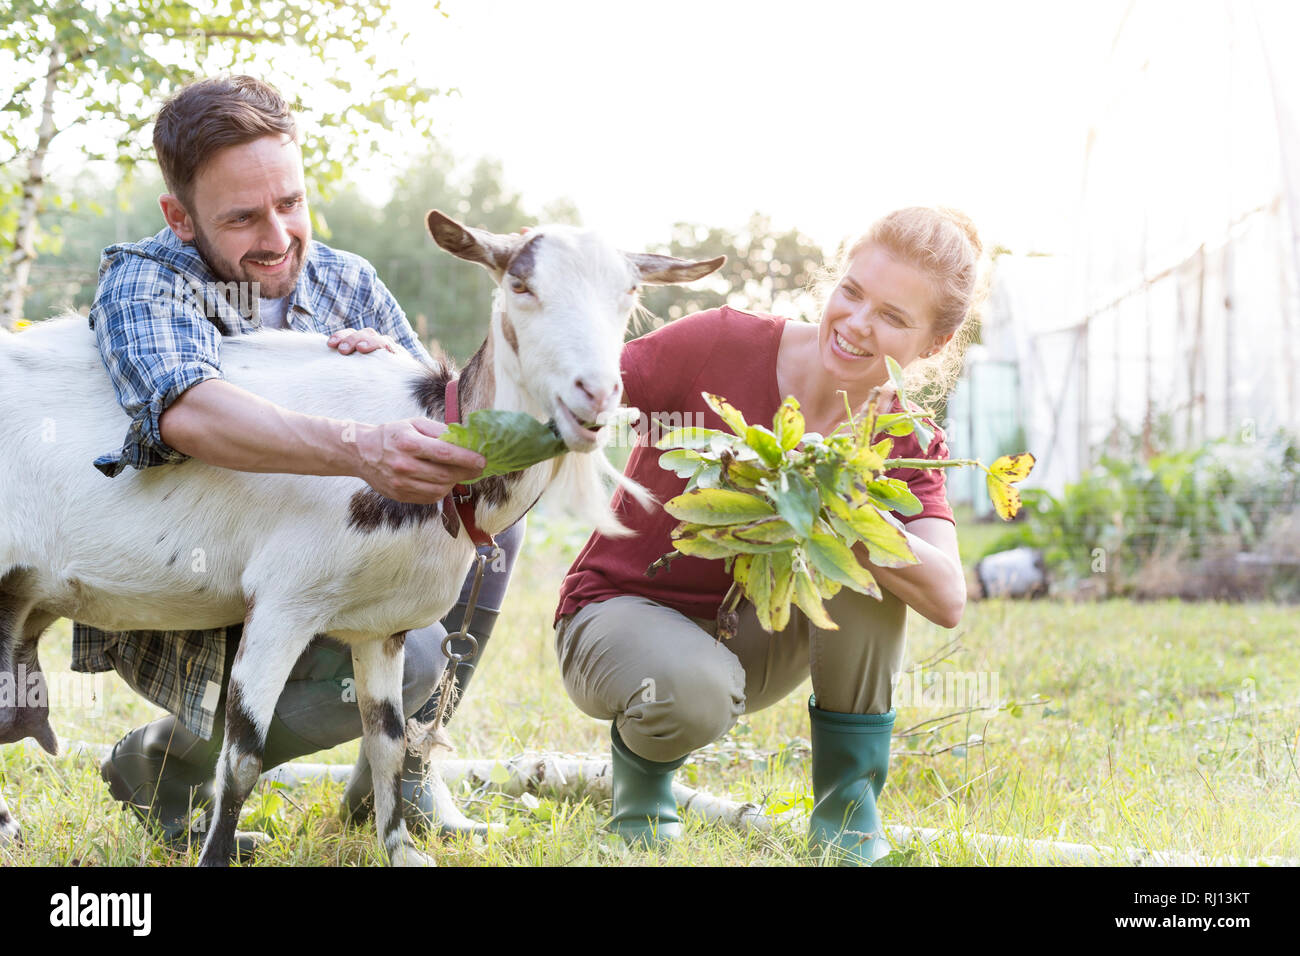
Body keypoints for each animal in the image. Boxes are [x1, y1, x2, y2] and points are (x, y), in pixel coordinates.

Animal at [0, 210, 722, 868]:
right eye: (521, 285)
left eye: (628, 293)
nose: (594, 395)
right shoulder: (282, 604)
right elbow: (242, 757)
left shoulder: (383, 627)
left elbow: (388, 740)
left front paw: (401, 849)